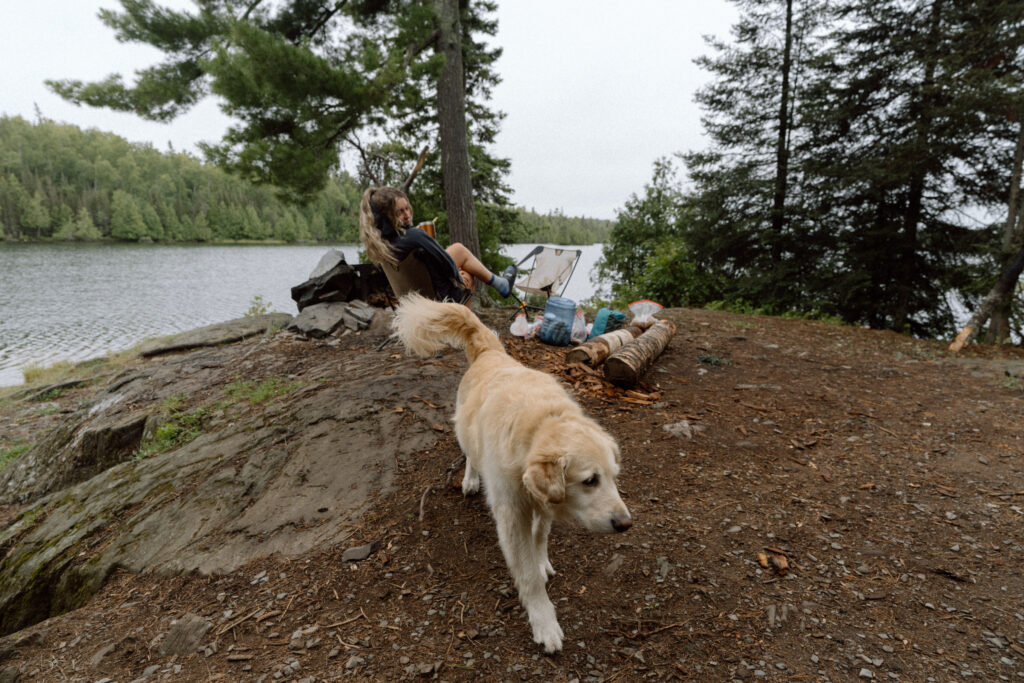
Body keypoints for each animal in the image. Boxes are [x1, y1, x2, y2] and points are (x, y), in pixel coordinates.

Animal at [391, 292, 630, 651]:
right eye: (590, 481)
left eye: (613, 477)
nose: (625, 524)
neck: (541, 423)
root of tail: (490, 350)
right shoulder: (512, 514)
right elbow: (528, 576)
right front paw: (544, 621)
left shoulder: (543, 501)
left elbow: (540, 536)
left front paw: (541, 560)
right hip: (464, 430)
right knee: (470, 455)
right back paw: (470, 479)